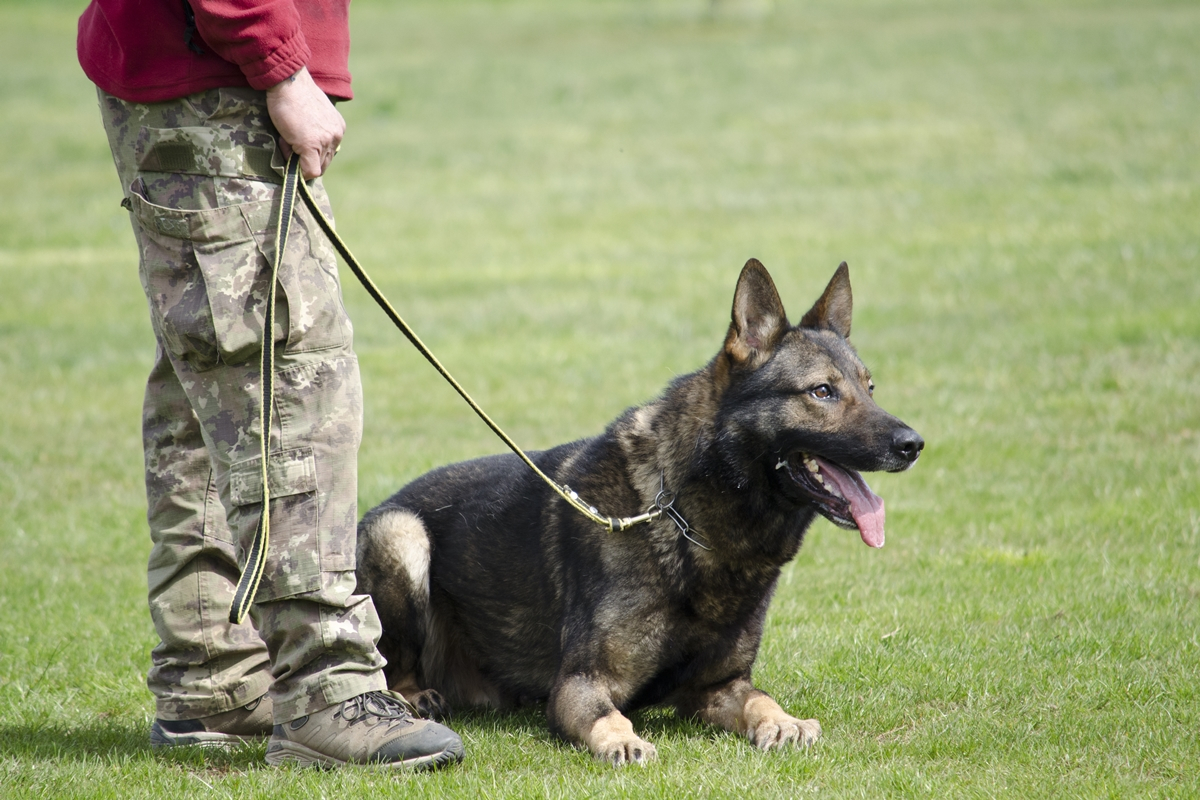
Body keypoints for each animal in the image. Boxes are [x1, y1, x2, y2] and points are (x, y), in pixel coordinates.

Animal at [352, 260, 916, 767]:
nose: (913, 444)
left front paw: (784, 722)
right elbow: (611, 716)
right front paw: (623, 741)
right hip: (401, 533)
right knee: (391, 666)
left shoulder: (721, 685)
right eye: (822, 391)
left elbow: (761, 699)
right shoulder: (580, 683)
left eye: (869, 389)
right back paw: (414, 698)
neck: (687, 520)